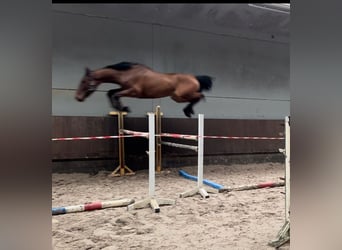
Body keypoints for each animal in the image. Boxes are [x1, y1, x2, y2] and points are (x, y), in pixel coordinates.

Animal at [76, 62, 212, 117]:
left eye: (83, 81)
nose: (77, 97)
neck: (127, 73)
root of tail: (194, 77)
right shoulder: (124, 88)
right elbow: (111, 93)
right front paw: (121, 108)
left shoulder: (134, 92)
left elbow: (115, 95)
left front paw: (123, 108)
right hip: (177, 97)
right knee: (198, 96)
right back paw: (188, 111)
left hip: (180, 95)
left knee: (200, 96)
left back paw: (188, 111)